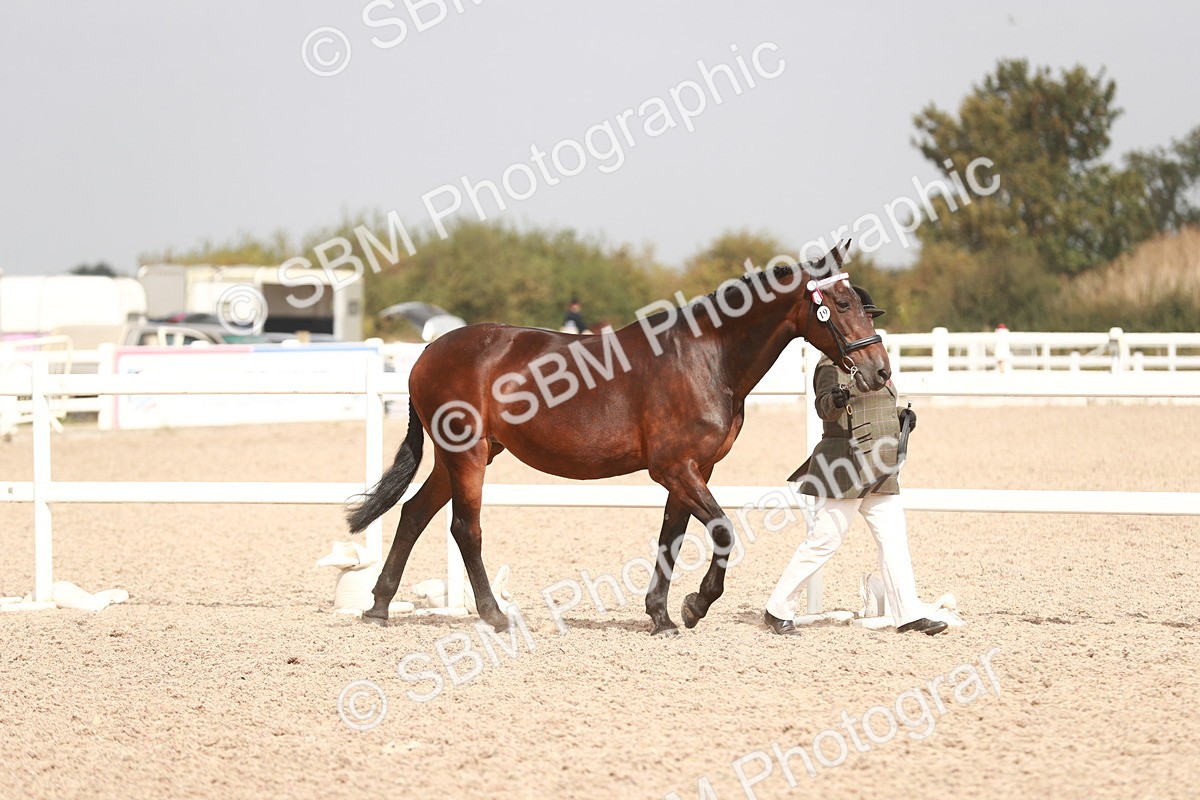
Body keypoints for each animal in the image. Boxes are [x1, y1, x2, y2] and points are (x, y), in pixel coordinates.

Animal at [346, 240, 890, 636]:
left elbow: (672, 537)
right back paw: (494, 615)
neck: (706, 358)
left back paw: (378, 607)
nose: (880, 370)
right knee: (465, 528)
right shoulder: (674, 468)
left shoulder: (693, 469)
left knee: (414, 515)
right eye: (842, 302)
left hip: (458, 456)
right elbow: (721, 530)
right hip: (468, 455)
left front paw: (662, 615)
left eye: (869, 307)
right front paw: (694, 606)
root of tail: (427, 352)